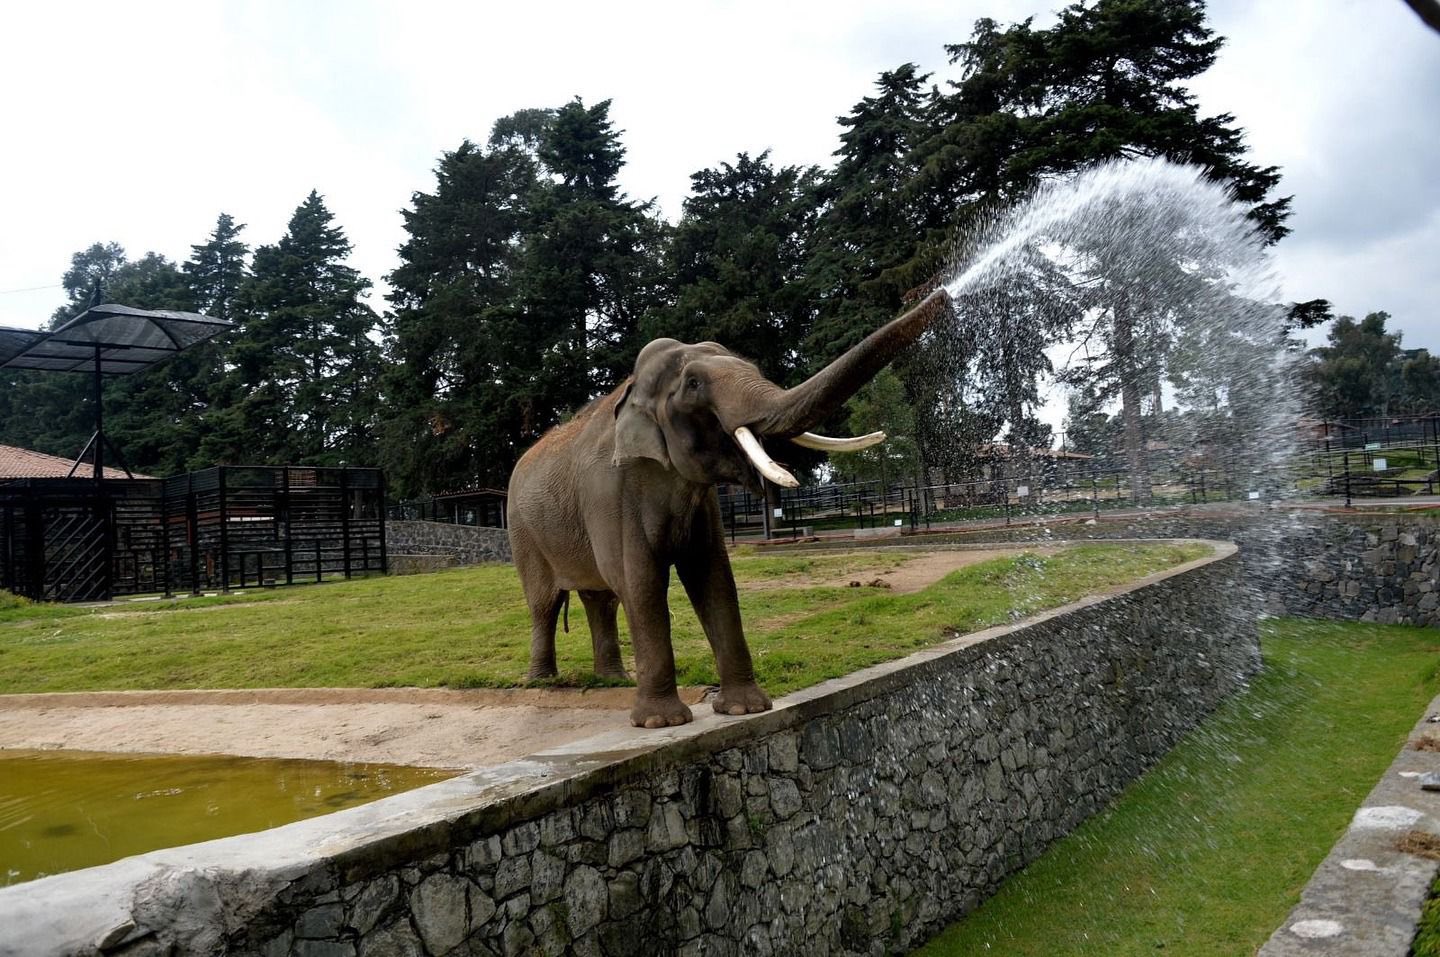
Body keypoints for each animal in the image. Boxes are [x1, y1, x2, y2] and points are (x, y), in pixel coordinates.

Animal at [506, 287, 950, 729]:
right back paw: (542, 682)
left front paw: (744, 709)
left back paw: (614, 680)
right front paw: (661, 722)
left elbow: (714, 577)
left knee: (600, 599)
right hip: (522, 532)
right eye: (693, 383)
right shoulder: (610, 494)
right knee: (545, 603)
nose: (943, 293)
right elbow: (640, 581)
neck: (631, 389)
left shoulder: (701, 504)